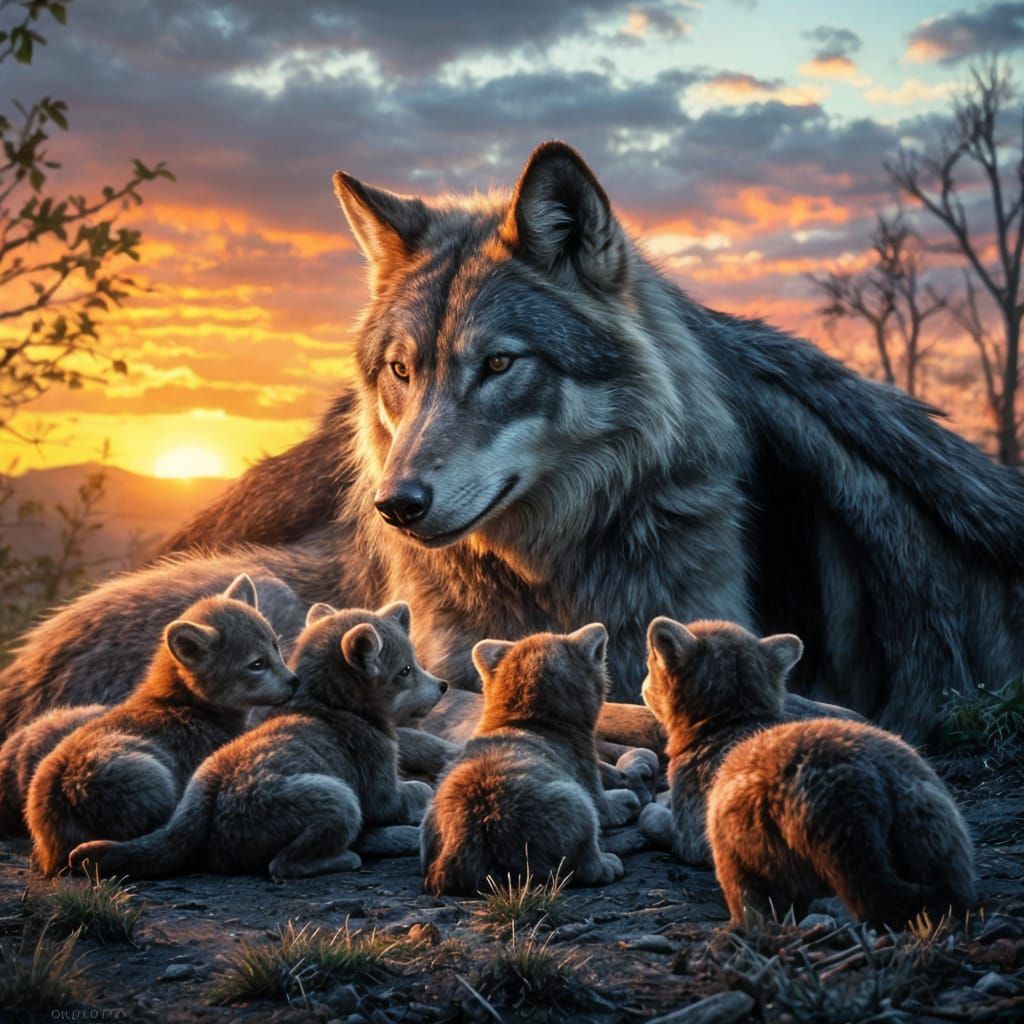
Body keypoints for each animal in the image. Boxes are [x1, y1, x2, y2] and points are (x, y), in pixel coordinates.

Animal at [70, 601, 442, 881]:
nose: (443, 686)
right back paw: (345, 857)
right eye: (406, 670)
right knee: (282, 866)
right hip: (337, 798)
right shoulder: (380, 788)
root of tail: (209, 801)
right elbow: (412, 792)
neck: (329, 704)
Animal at [421, 624, 638, 895]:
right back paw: (607, 864)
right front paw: (624, 800)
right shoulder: (584, 767)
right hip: (568, 805)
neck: (525, 720)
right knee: (583, 854)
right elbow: (604, 805)